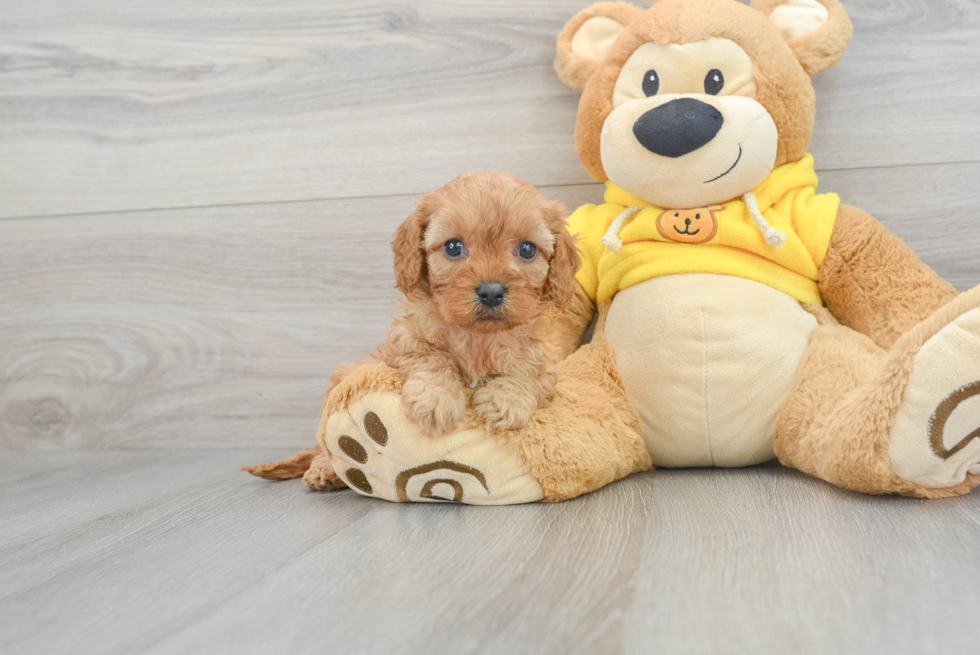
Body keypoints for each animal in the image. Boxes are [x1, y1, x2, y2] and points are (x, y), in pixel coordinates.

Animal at [378, 172, 580, 436]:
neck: (478, 336)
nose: (491, 292)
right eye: (453, 247)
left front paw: (505, 400)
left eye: (527, 249)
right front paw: (436, 397)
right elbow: (429, 355)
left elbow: (528, 369)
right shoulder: (402, 338)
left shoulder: (543, 360)